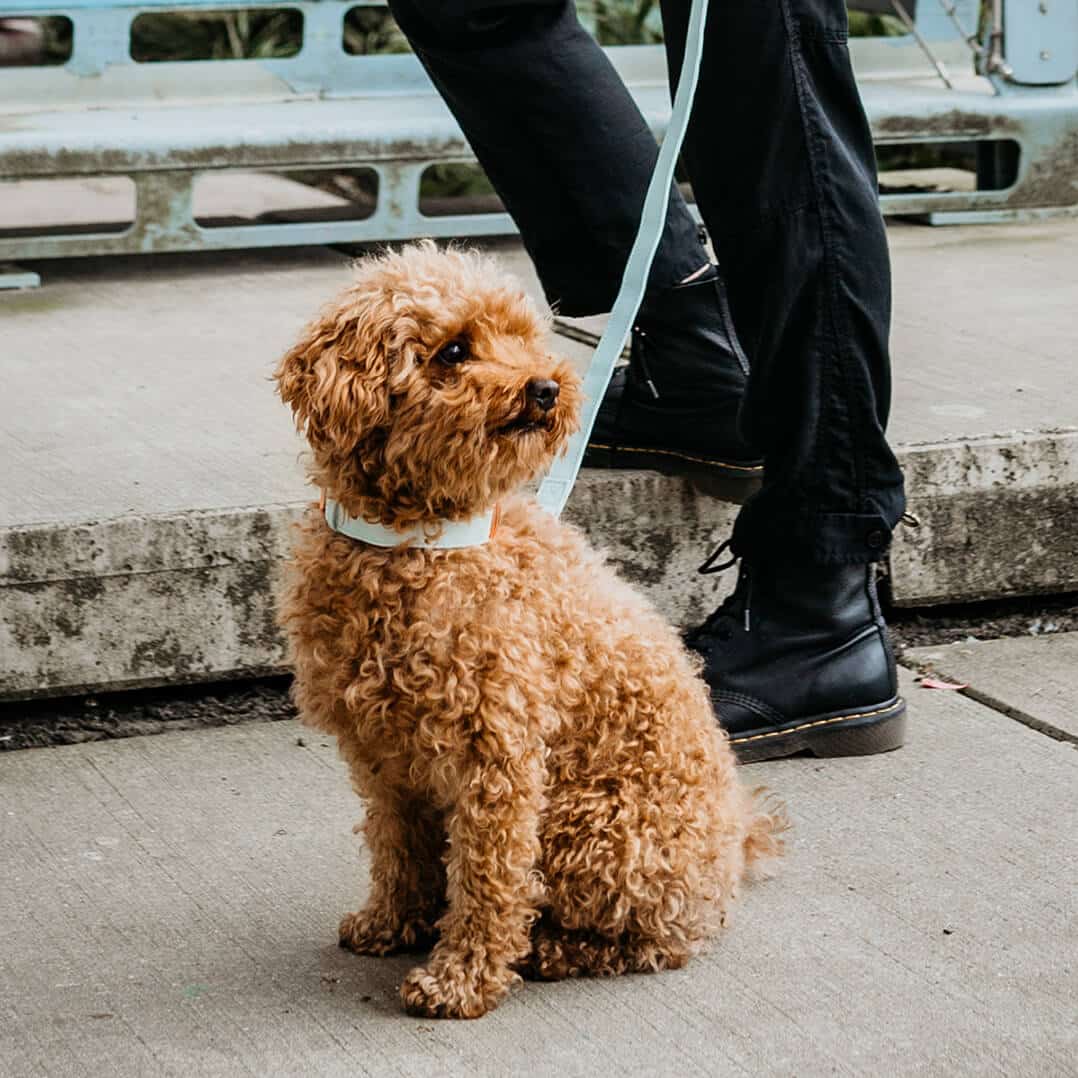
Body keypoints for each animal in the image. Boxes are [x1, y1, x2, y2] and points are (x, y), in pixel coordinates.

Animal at [275, 238, 784, 1017]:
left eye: (520, 337)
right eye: (454, 350)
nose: (545, 388)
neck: (420, 542)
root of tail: (730, 851)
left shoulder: (499, 757)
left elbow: (490, 879)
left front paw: (461, 978)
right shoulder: (384, 759)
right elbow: (397, 848)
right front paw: (393, 922)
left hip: (594, 829)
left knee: (647, 939)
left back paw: (553, 951)